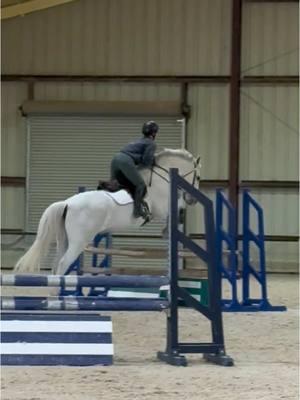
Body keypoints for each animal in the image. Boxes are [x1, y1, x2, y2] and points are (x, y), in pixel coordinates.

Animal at [14, 148, 202, 276]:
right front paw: (168, 229)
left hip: (65, 239)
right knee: (62, 264)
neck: (159, 179)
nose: (192, 200)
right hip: (79, 241)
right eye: (198, 177)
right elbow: (175, 209)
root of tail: (67, 203)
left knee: (56, 265)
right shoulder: (161, 207)